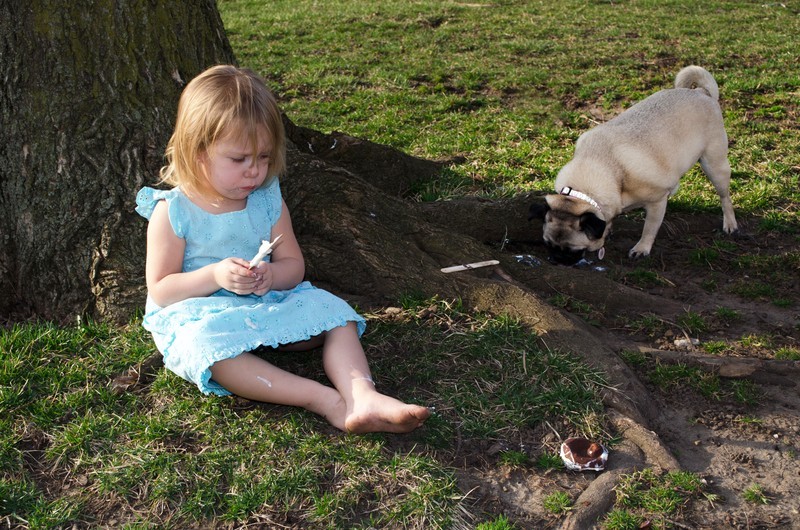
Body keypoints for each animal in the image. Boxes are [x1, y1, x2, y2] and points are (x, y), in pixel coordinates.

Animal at [532, 66, 736, 264]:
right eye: (548, 245)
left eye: (572, 250)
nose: (555, 260)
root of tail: (701, 93)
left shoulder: (657, 202)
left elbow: (649, 228)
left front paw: (642, 248)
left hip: (714, 165)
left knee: (725, 197)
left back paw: (730, 224)